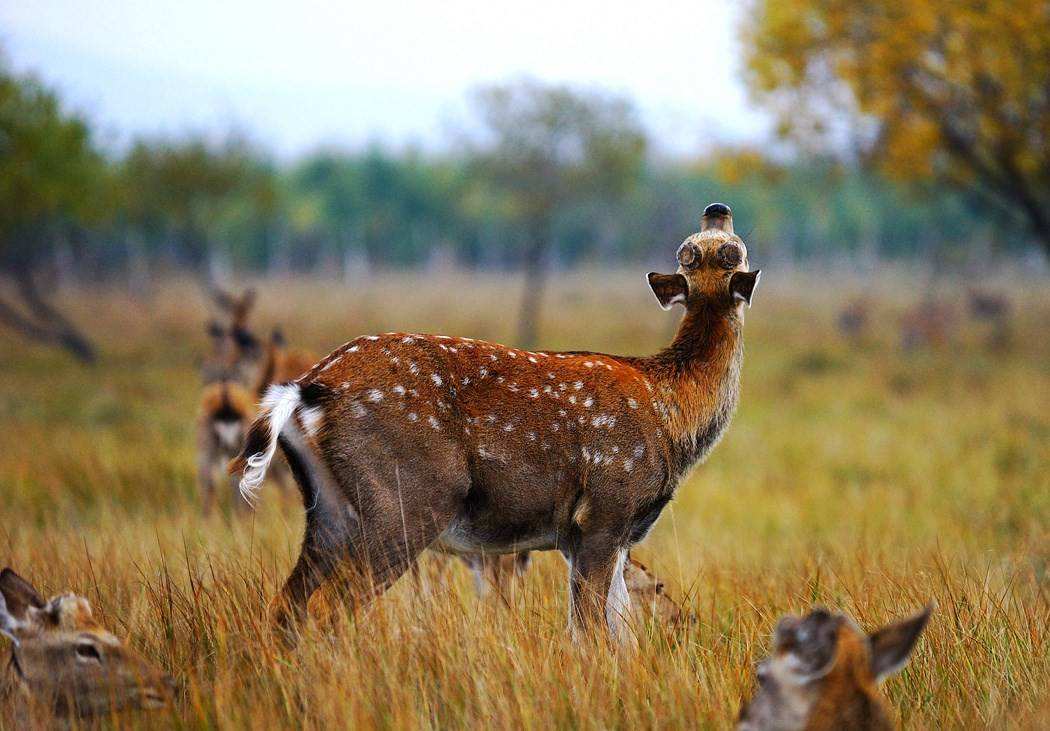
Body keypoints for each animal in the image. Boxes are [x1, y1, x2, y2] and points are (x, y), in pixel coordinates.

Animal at [229, 201, 760, 646]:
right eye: (731, 249)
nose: (717, 207)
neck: (671, 412)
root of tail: (304, 389)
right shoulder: (605, 511)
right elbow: (591, 633)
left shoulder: (600, 534)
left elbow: (618, 633)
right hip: (403, 500)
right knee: (327, 609)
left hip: (328, 510)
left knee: (286, 607)